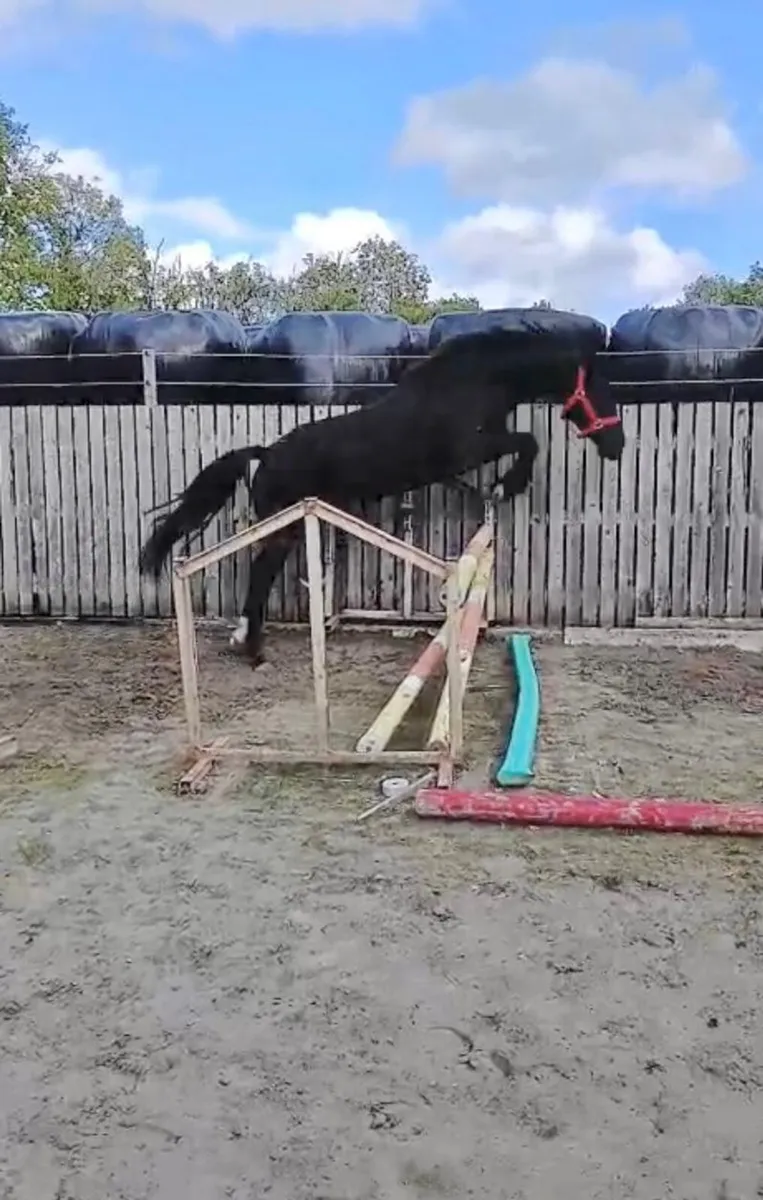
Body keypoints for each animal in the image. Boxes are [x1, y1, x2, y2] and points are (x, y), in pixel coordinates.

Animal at [140, 326, 624, 665]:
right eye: (603, 392)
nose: (617, 447)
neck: (475, 382)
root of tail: (266, 455)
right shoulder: (471, 449)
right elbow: (528, 441)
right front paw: (507, 485)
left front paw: (495, 488)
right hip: (285, 530)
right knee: (259, 577)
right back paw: (255, 651)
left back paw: (245, 639)